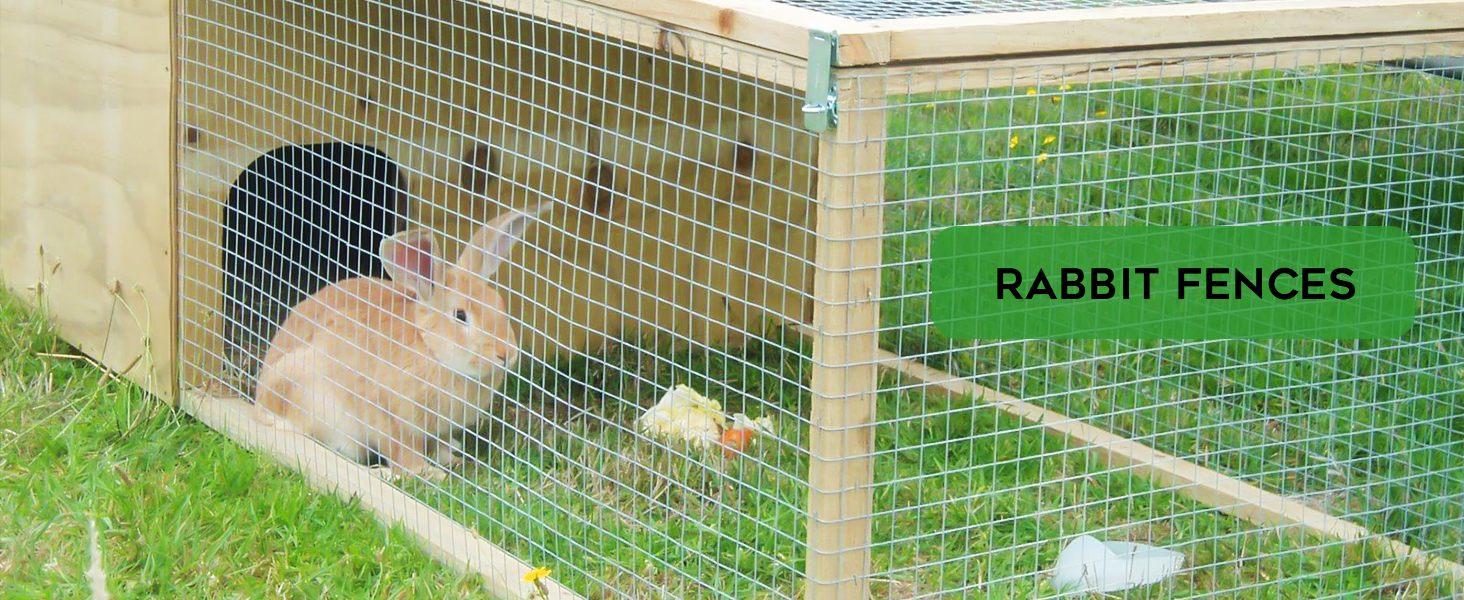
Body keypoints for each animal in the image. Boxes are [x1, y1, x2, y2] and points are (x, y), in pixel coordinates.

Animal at [252, 204, 549, 482]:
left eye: (499, 304)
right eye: (460, 315)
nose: (506, 354)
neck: (429, 347)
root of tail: (261, 404)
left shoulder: (437, 430)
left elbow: (439, 445)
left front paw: (451, 459)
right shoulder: (390, 417)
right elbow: (403, 454)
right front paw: (429, 474)